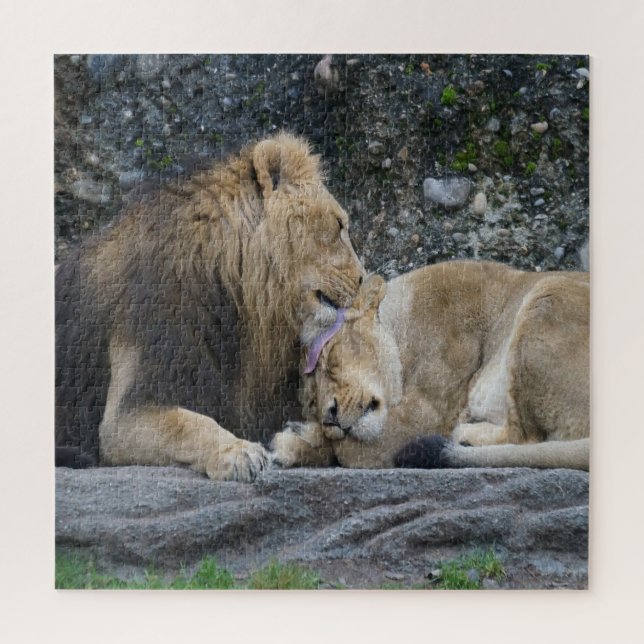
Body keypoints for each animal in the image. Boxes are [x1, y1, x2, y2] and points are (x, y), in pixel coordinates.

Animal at [55, 133, 364, 481]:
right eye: (338, 225)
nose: (362, 278)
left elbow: (331, 439)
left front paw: (296, 441)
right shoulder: (127, 410)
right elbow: (187, 424)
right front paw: (238, 452)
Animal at [271, 260, 589, 471]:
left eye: (330, 360)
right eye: (311, 401)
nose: (331, 417)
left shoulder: (427, 416)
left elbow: (350, 451)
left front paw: (298, 439)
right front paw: (299, 440)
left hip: (547, 295)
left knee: (526, 437)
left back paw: (464, 437)